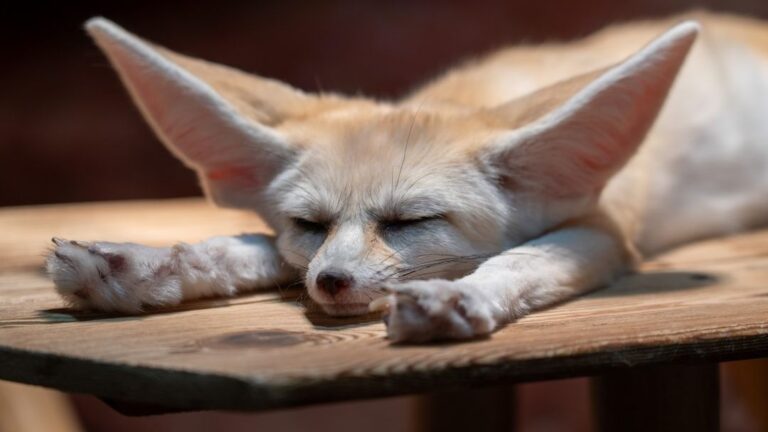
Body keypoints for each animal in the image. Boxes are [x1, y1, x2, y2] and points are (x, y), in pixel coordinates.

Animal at [47, 12, 768, 343]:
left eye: (412, 221)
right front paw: (138, 266)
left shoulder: (607, 229)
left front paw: (459, 298)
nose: (332, 283)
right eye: (308, 224)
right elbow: (250, 246)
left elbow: (521, 260)